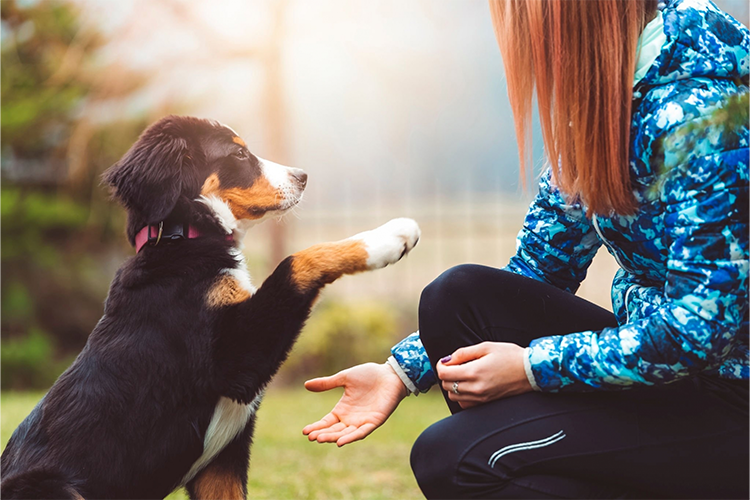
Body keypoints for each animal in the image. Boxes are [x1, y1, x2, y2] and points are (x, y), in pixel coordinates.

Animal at [0, 116, 424, 500]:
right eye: (238, 153)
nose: (302, 176)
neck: (181, 240)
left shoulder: (222, 462)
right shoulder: (234, 358)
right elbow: (297, 260)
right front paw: (387, 238)